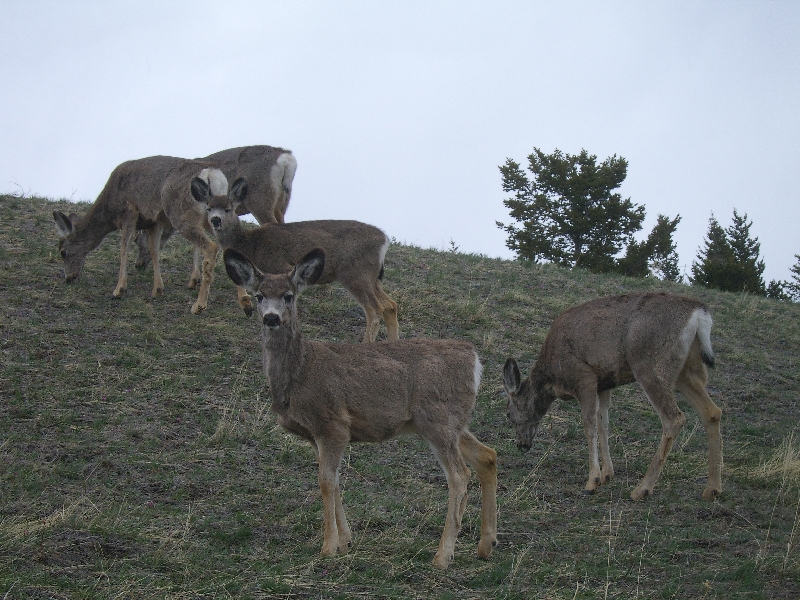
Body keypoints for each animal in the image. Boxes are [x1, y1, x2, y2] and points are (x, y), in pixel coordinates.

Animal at [191, 169, 396, 342]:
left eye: (228, 209)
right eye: (208, 208)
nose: (215, 220)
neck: (251, 244)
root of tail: (384, 239)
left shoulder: (280, 266)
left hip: (355, 272)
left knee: (375, 309)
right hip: (372, 278)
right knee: (390, 304)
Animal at [219, 247, 494, 568]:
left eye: (288, 295)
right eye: (260, 295)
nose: (272, 318)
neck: (301, 371)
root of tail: (474, 360)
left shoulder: (333, 423)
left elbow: (326, 482)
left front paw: (328, 547)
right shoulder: (314, 435)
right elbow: (335, 481)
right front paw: (346, 541)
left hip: (437, 418)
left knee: (460, 475)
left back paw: (443, 555)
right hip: (451, 422)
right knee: (487, 456)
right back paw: (486, 545)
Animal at [506, 290, 724, 502]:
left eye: (509, 414)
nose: (521, 445)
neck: (551, 377)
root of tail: (699, 314)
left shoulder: (584, 377)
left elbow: (589, 426)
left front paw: (592, 481)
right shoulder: (603, 384)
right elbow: (603, 424)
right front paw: (607, 475)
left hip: (650, 366)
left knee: (674, 418)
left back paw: (642, 490)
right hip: (687, 369)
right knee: (712, 412)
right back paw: (712, 489)